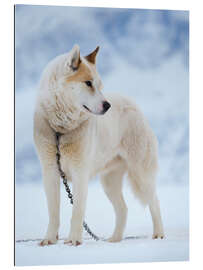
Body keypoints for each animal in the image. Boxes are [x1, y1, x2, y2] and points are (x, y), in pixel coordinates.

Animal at [33, 44, 163, 247]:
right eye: (88, 83)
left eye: (100, 86)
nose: (107, 105)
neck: (60, 129)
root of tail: (133, 104)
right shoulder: (50, 172)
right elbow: (53, 213)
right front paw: (49, 239)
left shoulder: (80, 173)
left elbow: (77, 212)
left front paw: (74, 240)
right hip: (109, 181)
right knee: (123, 209)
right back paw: (114, 240)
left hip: (141, 173)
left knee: (155, 202)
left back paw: (159, 235)